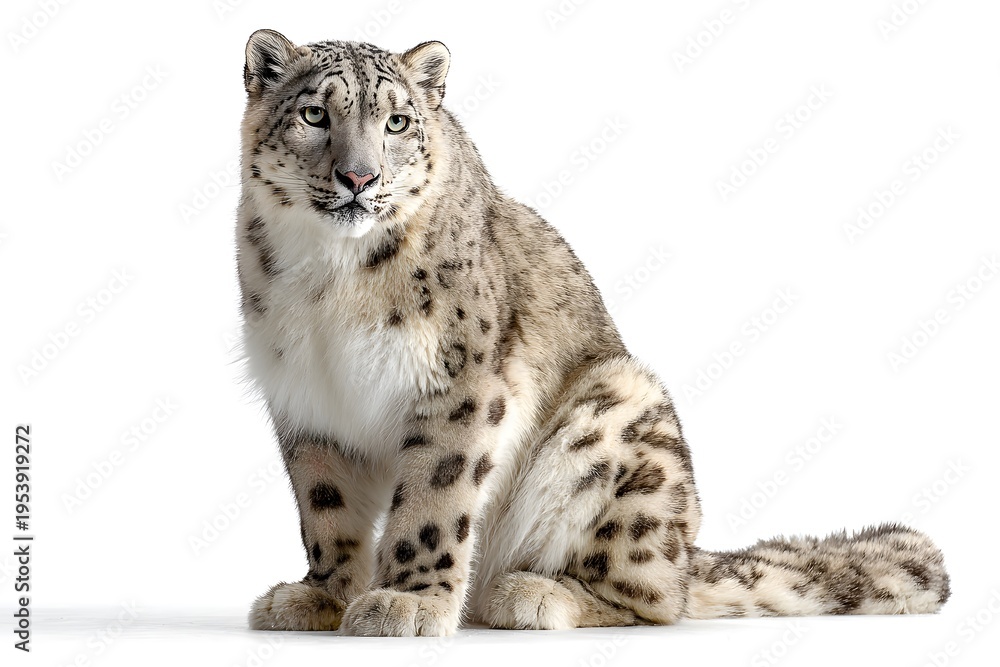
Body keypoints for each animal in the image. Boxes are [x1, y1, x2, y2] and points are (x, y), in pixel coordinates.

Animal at [235, 29, 950, 636]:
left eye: (397, 122)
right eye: (314, 115)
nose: (359, 177)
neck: (328, 281)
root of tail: (687, 549)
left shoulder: (459, 383)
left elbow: (434, 500)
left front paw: (407, 602)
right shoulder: (306, 397)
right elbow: (326, 508)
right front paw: (323, 597)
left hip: (618, 417)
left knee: (657, 598)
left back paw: (529, 594)